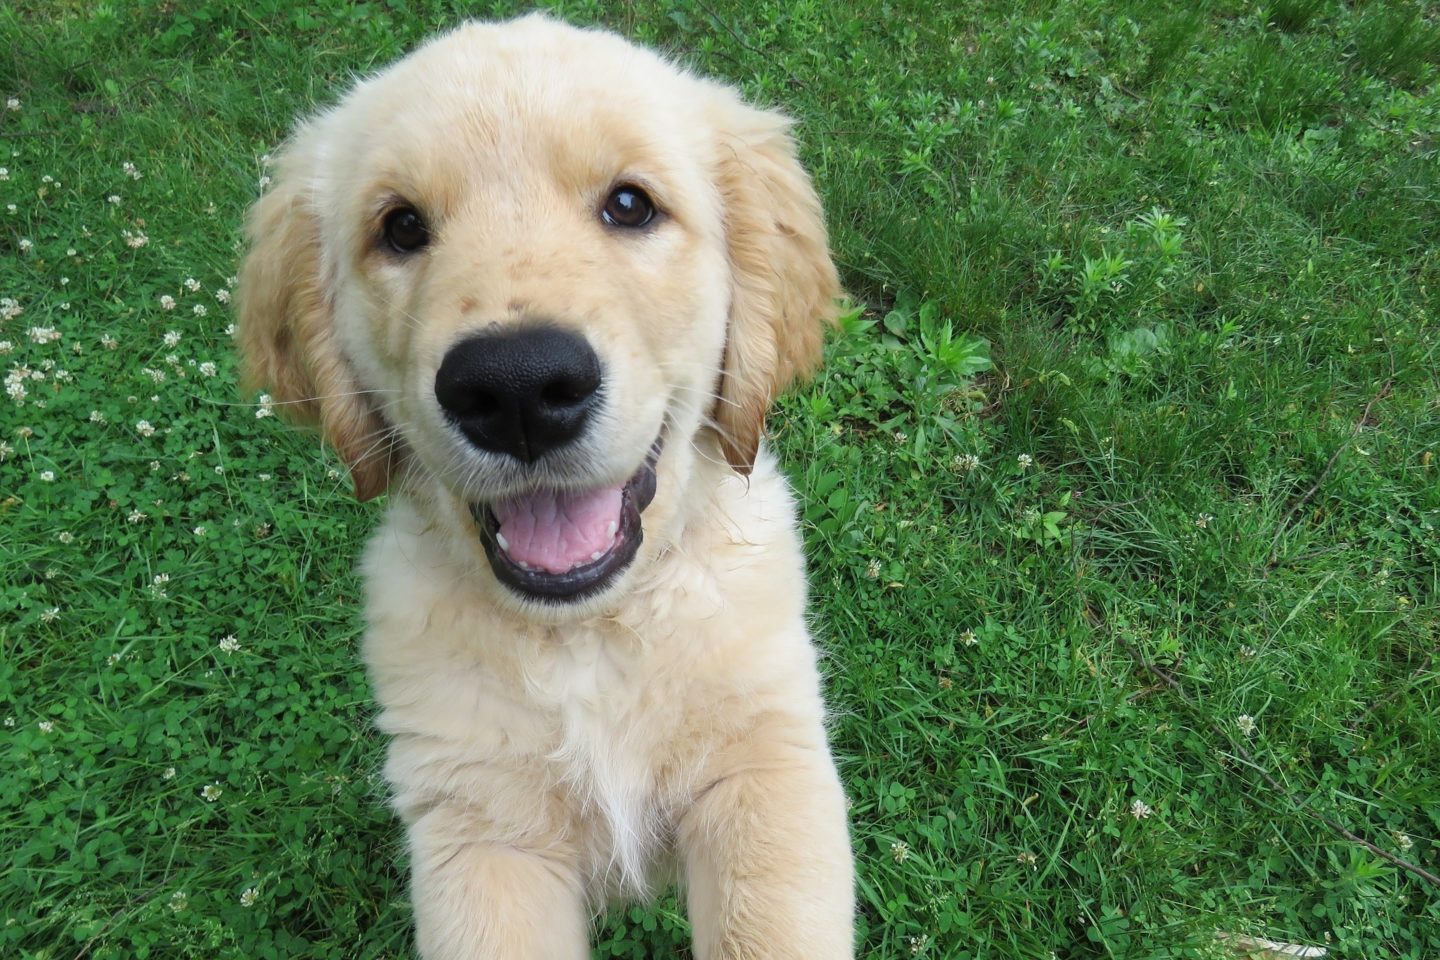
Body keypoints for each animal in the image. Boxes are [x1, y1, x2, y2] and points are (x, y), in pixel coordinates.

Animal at [233, 15, 852, 960]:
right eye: (400, 226)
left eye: (630, 205)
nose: (517, 388)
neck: (587, 638)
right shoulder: (477, 826)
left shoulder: (766, 770)